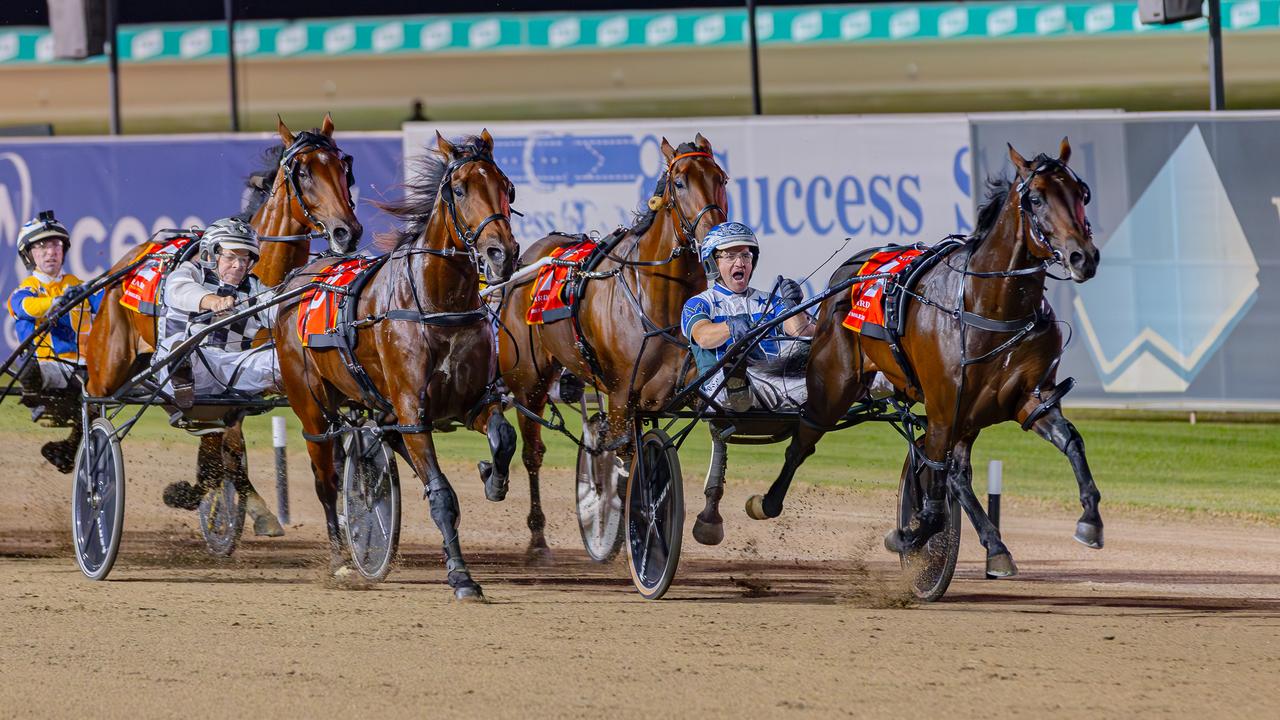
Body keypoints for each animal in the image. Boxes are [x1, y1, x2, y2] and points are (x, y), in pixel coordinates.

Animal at [80, 113, 363, 532]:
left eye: (344, 168)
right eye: (304, 171)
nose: (348, 231)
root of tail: (128, 262)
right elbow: (230, 443)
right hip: (109, 363)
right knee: (90, 408)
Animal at [275, 131, 519, 597]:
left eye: (507, 187)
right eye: (460, 188)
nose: (502, 253)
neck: (435, 304)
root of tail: (298, 281)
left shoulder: (473, 401)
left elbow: (503, 437)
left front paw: (492, 477)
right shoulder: (413, 410)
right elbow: (441, 494)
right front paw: (461, 575)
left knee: (384, 441)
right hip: (311, 406)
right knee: (325, 480)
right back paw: (340, 559)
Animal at [494, 135, 727, 561]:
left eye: (720, 178)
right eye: (680, 183)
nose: (713, 233)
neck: (658, 295)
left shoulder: (691, 381)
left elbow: (718, 428)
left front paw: (709, 519)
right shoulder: (622, 393)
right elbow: (625, 459)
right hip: (529, 381)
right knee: (533, 451)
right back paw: (539, 536)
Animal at [747, 137, 1100, 576]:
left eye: (1081, 193)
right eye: (1035, 198)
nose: (1083, 257)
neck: (990, 307)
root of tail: (848, 272)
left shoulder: (1028, 399)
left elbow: (1071, 442)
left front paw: (1090, 521)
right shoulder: (946, 405)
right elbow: (934, 497)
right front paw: (909, 536)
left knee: (957, 474)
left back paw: (995, 545)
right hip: (834, 385)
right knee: (804, 439)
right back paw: (765, 502)